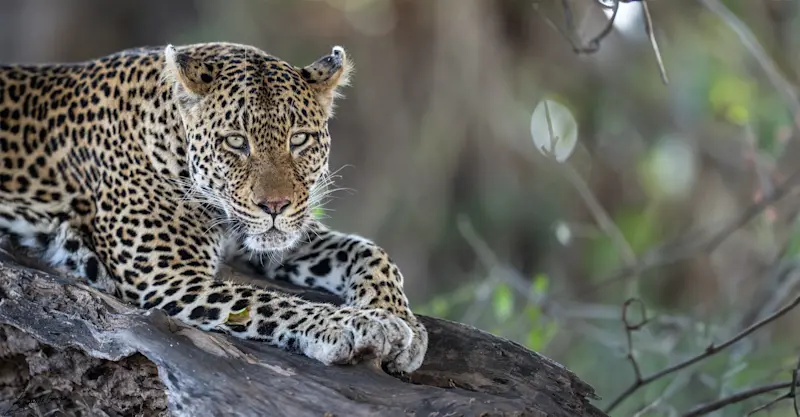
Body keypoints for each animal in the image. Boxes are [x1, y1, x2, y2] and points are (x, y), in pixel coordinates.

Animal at [0, 42, 427, 374]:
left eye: (299, 139)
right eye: (236, 141)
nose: (275, 205)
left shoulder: (271, 238)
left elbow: (369, 250)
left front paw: (401, 320)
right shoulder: (170, 278)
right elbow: (268, 303)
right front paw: (355, 324)